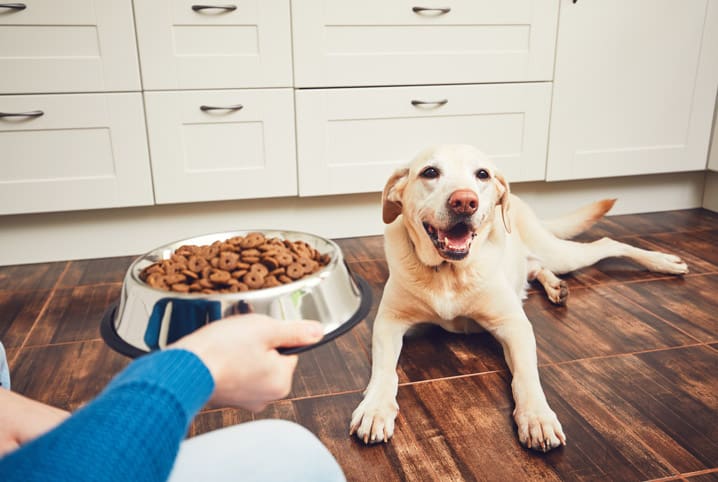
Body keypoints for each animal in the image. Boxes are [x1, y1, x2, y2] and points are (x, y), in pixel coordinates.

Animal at [352, 143, 688, 452]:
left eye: (482, 174)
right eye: (430, 172)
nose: (465, 201)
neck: (450, 272)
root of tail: (521, 202)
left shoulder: (514, 325)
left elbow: (526, 375)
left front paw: (537, 418)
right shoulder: (389, 323)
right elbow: (385, 372)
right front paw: (375, 408)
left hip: (560, 253)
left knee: (606, 243)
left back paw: (664, 262)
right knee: (535, 267)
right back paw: (556, 287)